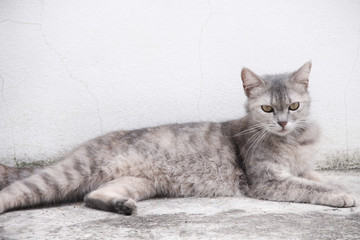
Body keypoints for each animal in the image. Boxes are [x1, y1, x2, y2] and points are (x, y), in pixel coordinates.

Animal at [0, 61, 356, 214]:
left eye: (294, 106)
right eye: (267, 108)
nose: (282, 123)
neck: (292, 142)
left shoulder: (301, 167)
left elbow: (318, 177)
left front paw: (342, 186)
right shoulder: (268, 180)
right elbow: (310, 187)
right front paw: (341, 194)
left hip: (138, 183)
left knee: (91, 195)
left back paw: (120, 206)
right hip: (66, 175)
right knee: (14, 193)